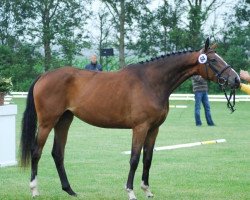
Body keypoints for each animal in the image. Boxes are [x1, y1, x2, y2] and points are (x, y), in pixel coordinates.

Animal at [20, 38, 240, 199]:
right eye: (213, 60)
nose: (236, 80)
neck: (151, 82)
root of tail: (44, 76)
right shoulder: (140, 127)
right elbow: (134, 158)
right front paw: (131, 191)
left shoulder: (154, 129)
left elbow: (148, 158)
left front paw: (147, 190)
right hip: (47, 122)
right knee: (36, 151)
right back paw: (34, 189)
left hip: (64, 120)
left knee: (58, 153)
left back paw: (70, 190)